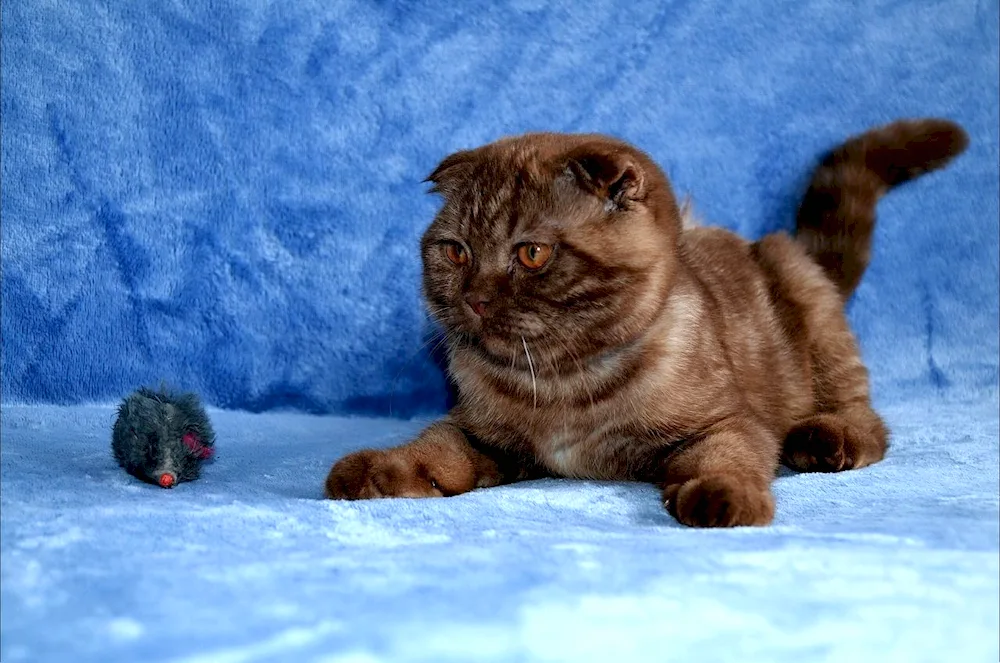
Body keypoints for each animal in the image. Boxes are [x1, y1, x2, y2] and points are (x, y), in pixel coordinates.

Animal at [324, 119, 964, 528]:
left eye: (531, 253)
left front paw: (721, 496)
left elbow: (725, 457)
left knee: (867, 419)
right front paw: (376, 470)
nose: (475, 298)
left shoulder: (724, 422)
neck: (561, 383)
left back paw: (824, 441)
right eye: (455, 252)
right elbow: (433, 449)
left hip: (803, 291)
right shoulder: (482, 434)